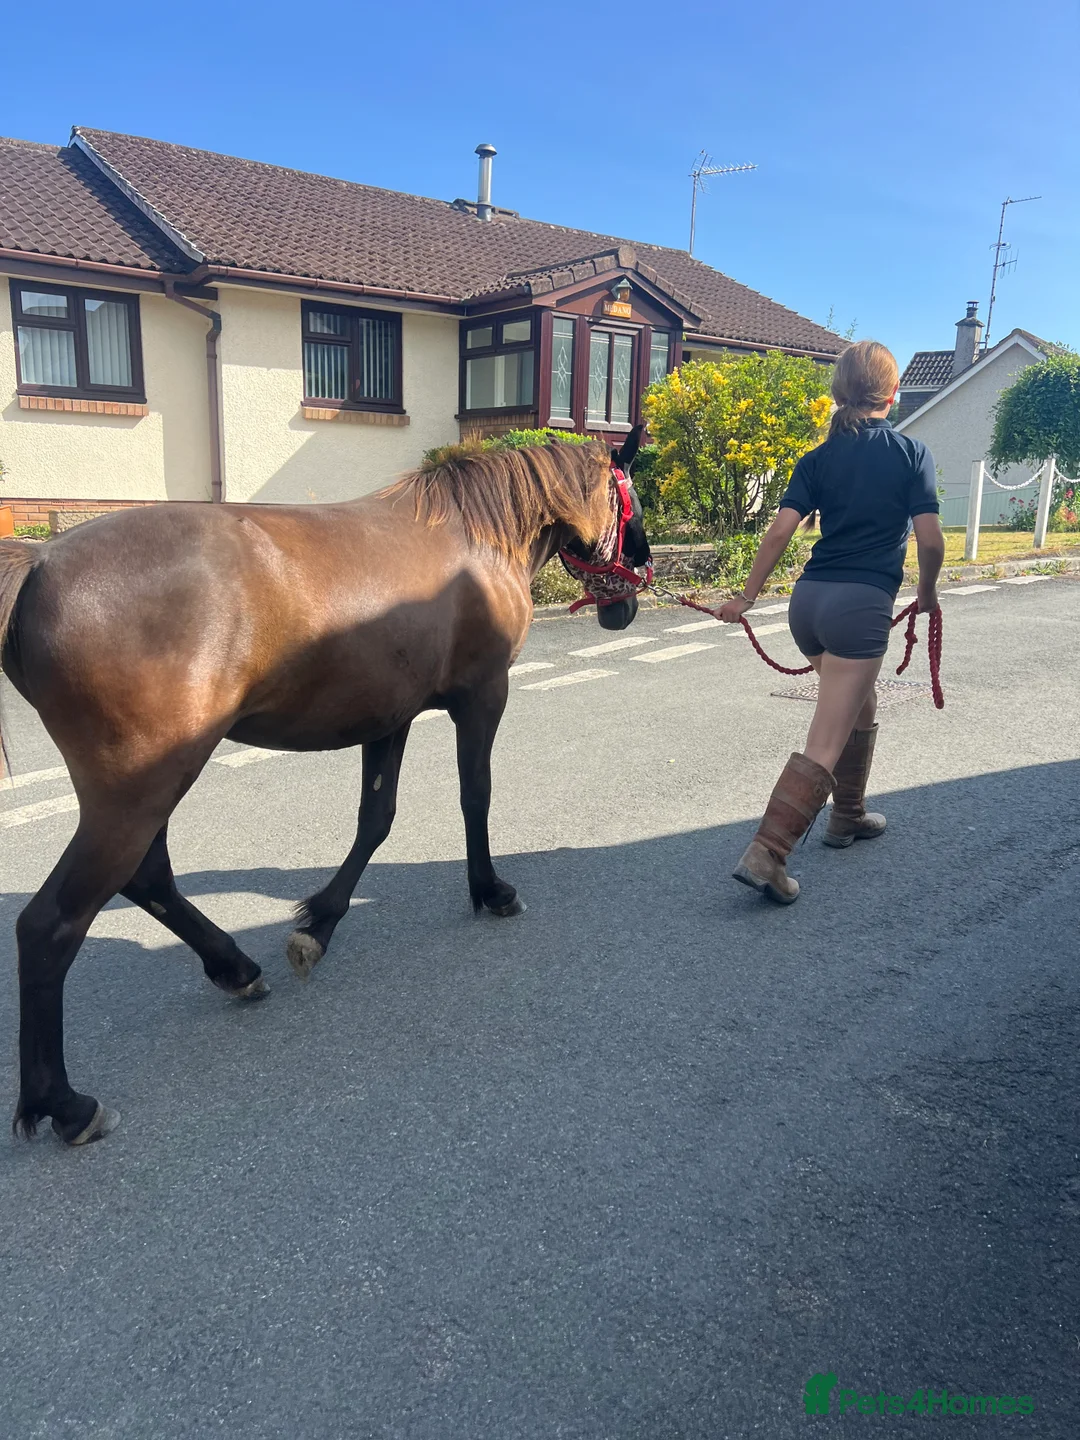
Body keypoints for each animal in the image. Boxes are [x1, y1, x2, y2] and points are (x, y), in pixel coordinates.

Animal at [0, 428, 650, 1146]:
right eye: (630, 499)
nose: (629, 598)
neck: (472, 538)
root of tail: (40, 561)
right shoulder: (482, 698)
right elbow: (474, 797)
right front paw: (490, 891)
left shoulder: (389, 718)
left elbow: (377, 818)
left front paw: (320, 925)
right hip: (141, 789)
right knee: (50, 924)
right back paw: (65, 1103)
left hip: (151, 785)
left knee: (148, 879)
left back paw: (235, 968)